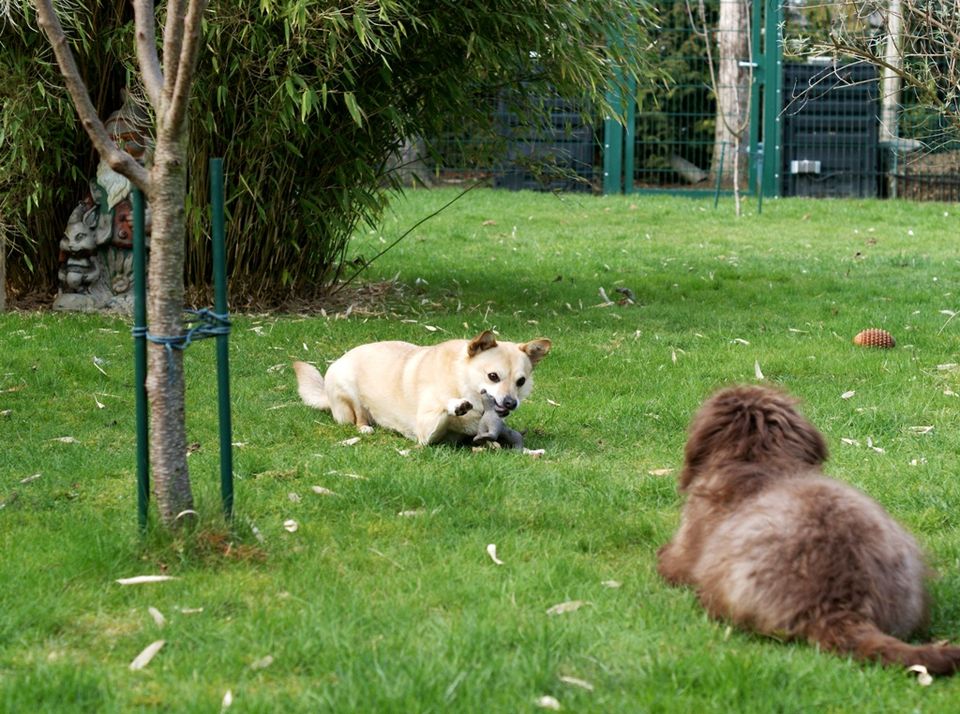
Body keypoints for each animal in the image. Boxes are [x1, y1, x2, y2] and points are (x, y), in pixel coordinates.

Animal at [292, 330, 552, 442]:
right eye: (493, 376)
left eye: (521, 381)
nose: (510, 403)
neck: (459, 379)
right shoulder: (426, 432)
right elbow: (444, 410)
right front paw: (456, 405)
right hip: (348, 391)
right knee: (358, 417)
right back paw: (365, 427)